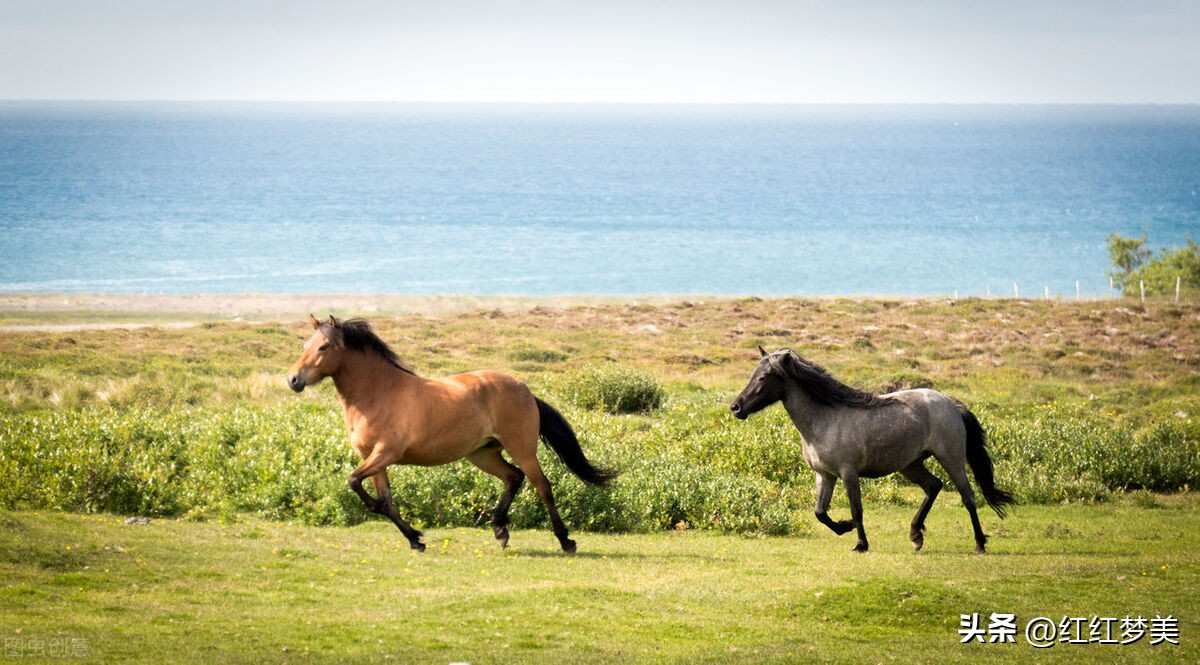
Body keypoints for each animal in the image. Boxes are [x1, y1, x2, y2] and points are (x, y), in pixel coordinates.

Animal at [285, 312, 614, 552]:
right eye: (303, 346)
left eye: (323, 347)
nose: (293, 380)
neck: (377, 394)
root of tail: (525, 390)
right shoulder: (372, 457)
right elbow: (384, 499)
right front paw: (415, 540)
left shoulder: (385, 453)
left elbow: (355, 482)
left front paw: (410, 532)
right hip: (482, 454)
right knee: (513, 477)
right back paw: (500, 530)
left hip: (522, 448)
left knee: (542, 486)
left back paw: (565, 541)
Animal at [724, 343, 1017, 552]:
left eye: (763, 378)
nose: (736, 407)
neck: (824, 419)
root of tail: (951, 404)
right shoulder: (824, 475)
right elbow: (820, 512)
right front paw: (844, 527)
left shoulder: (848, 473)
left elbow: (857, 509)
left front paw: (860, 543)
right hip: (911, 464)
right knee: (933, 487)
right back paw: (915, 536)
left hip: (951, 458)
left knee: (968, 496)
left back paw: (979, 543)